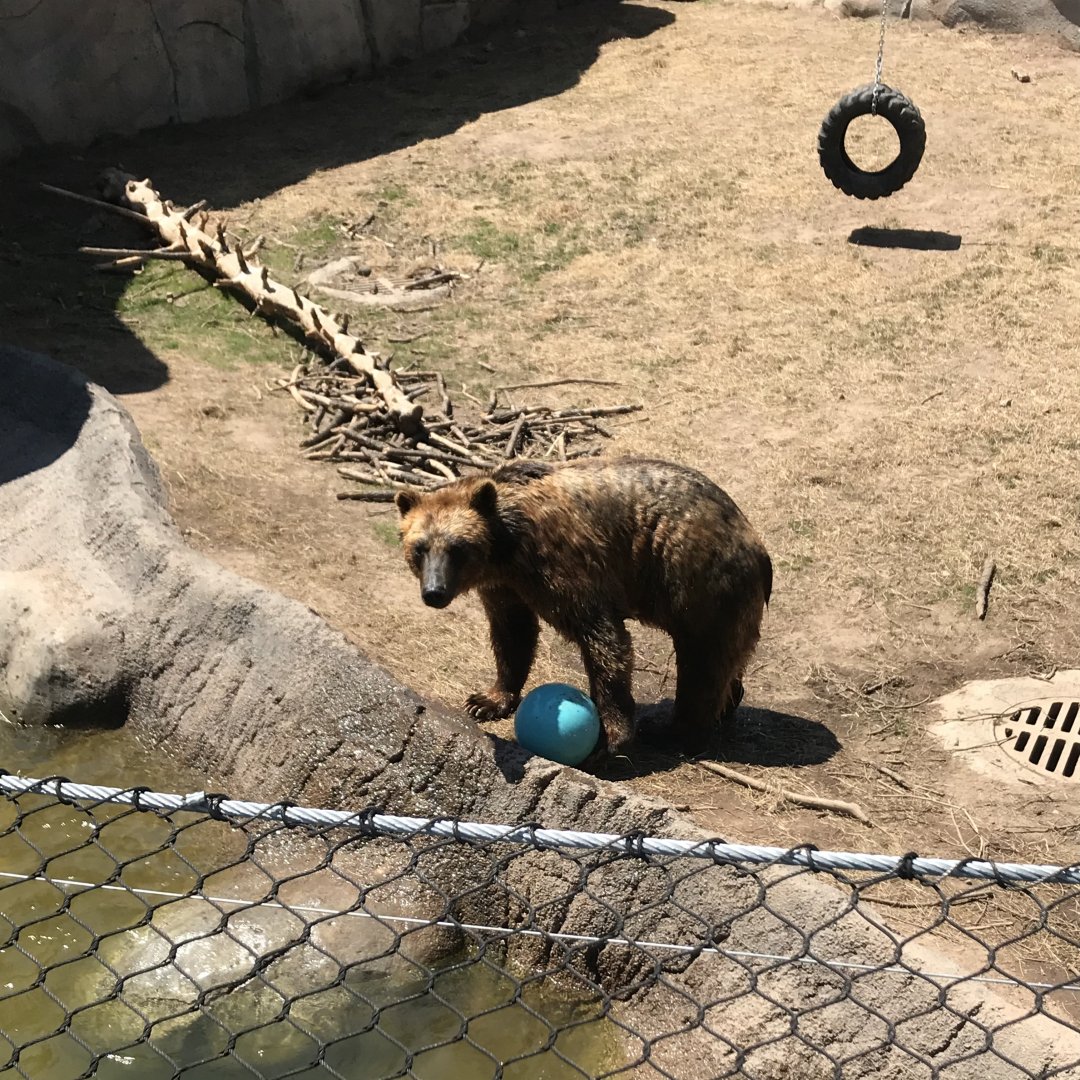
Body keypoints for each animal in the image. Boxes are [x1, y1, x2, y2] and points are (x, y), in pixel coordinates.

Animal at [394, 457, 772, 760]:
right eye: (420, 548)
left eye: (457, 548)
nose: (434, 592)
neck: (508, 546)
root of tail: (758, 546)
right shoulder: (505, 587)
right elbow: (512, 634)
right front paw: (487, 700)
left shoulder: (562, 565)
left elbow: (601, 636)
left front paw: (609, 738)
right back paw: (728, 701)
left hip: (698, 581)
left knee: (703, 661)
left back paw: (673, 731)